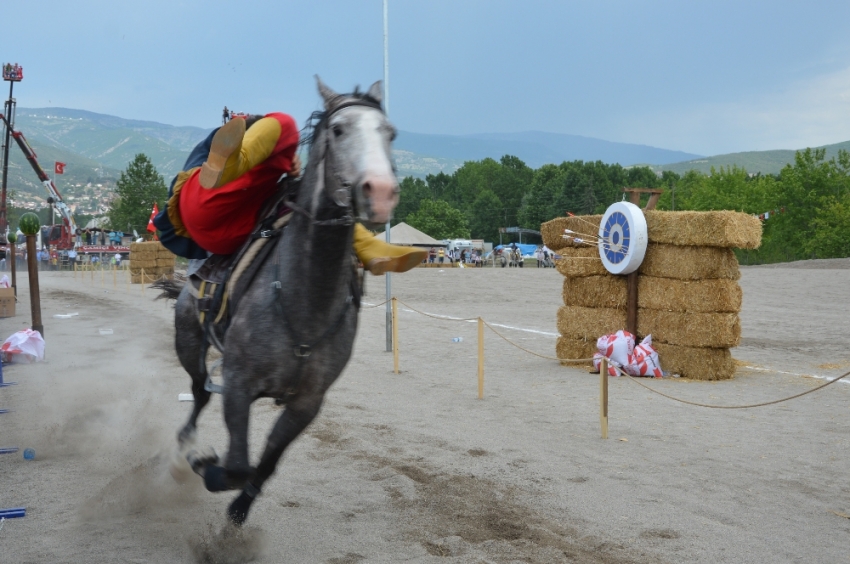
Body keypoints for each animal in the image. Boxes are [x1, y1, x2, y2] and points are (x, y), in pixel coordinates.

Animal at [157, 77, 400, 528]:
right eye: (339, 130)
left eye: (389, 133)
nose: (380, 192)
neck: (304, 302)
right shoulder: (238, 384)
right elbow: (237, 465)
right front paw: (204, 465)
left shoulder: (307, 403)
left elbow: (264, 465)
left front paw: (238, 511)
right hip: (188, 339)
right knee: (199, 393)